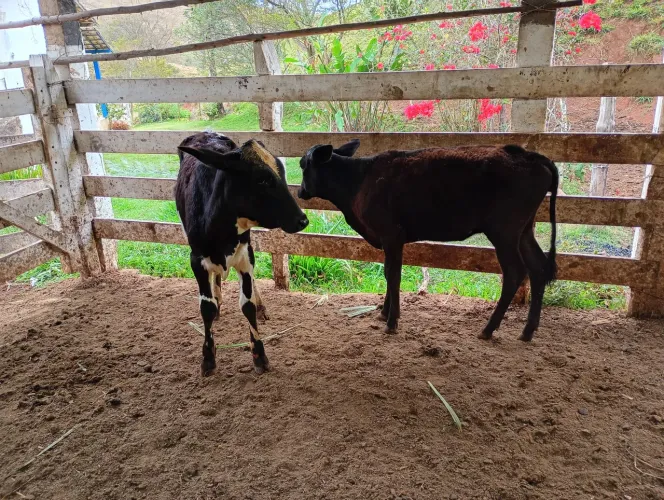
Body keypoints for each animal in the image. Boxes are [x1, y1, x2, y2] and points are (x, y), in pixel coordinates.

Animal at [175, 132, 309, 376]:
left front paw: (259, 355)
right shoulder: (196, 261)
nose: (302, 220)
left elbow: (248, 305)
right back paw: (218, 299)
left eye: (281, 172)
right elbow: (206, 307)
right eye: (262, 179)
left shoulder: (246, 256)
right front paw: (208, 356)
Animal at [297, 140, 558, 342]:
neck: (359, 181)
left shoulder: (391, 235)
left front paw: (391, 321)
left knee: (515, 272)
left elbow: (393, 275)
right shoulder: (391, 240)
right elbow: (389, 272)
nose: (300, 192)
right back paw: (527, 331)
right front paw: (385, 313)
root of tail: (528, 155)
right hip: (523, 231)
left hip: (504, 232)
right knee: (537, 268)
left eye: (302, 165)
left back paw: (488, 329)